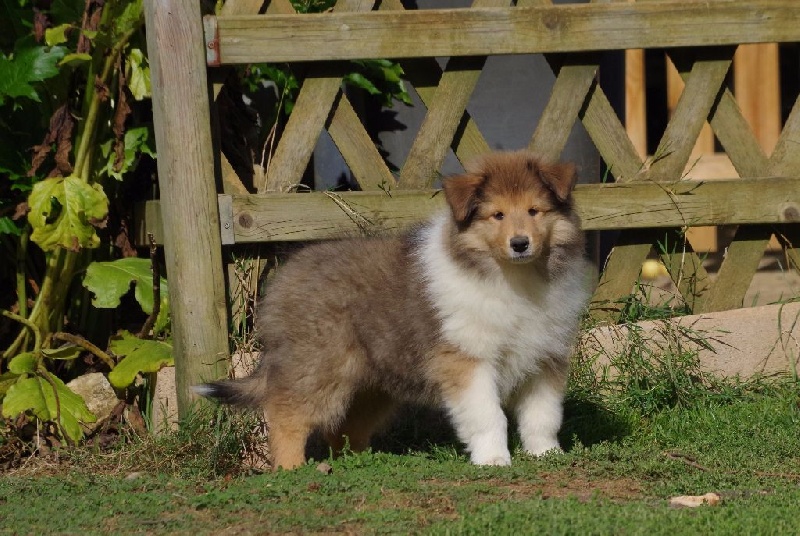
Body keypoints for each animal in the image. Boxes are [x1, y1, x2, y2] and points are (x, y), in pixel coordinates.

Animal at [197, 151, 592, 468]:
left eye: (534, 211)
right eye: (497, 215)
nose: (520, 243)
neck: (512, 277)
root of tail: (283, 281)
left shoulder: (544, 358)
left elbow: (543, 415)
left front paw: (547, 454)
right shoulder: (468, 360)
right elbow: (488, 415)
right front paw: (494, 459)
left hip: (372, 384)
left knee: (343, 428)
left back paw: (361, 463)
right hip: (318, 365)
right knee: (287, 413)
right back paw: (291, 468)